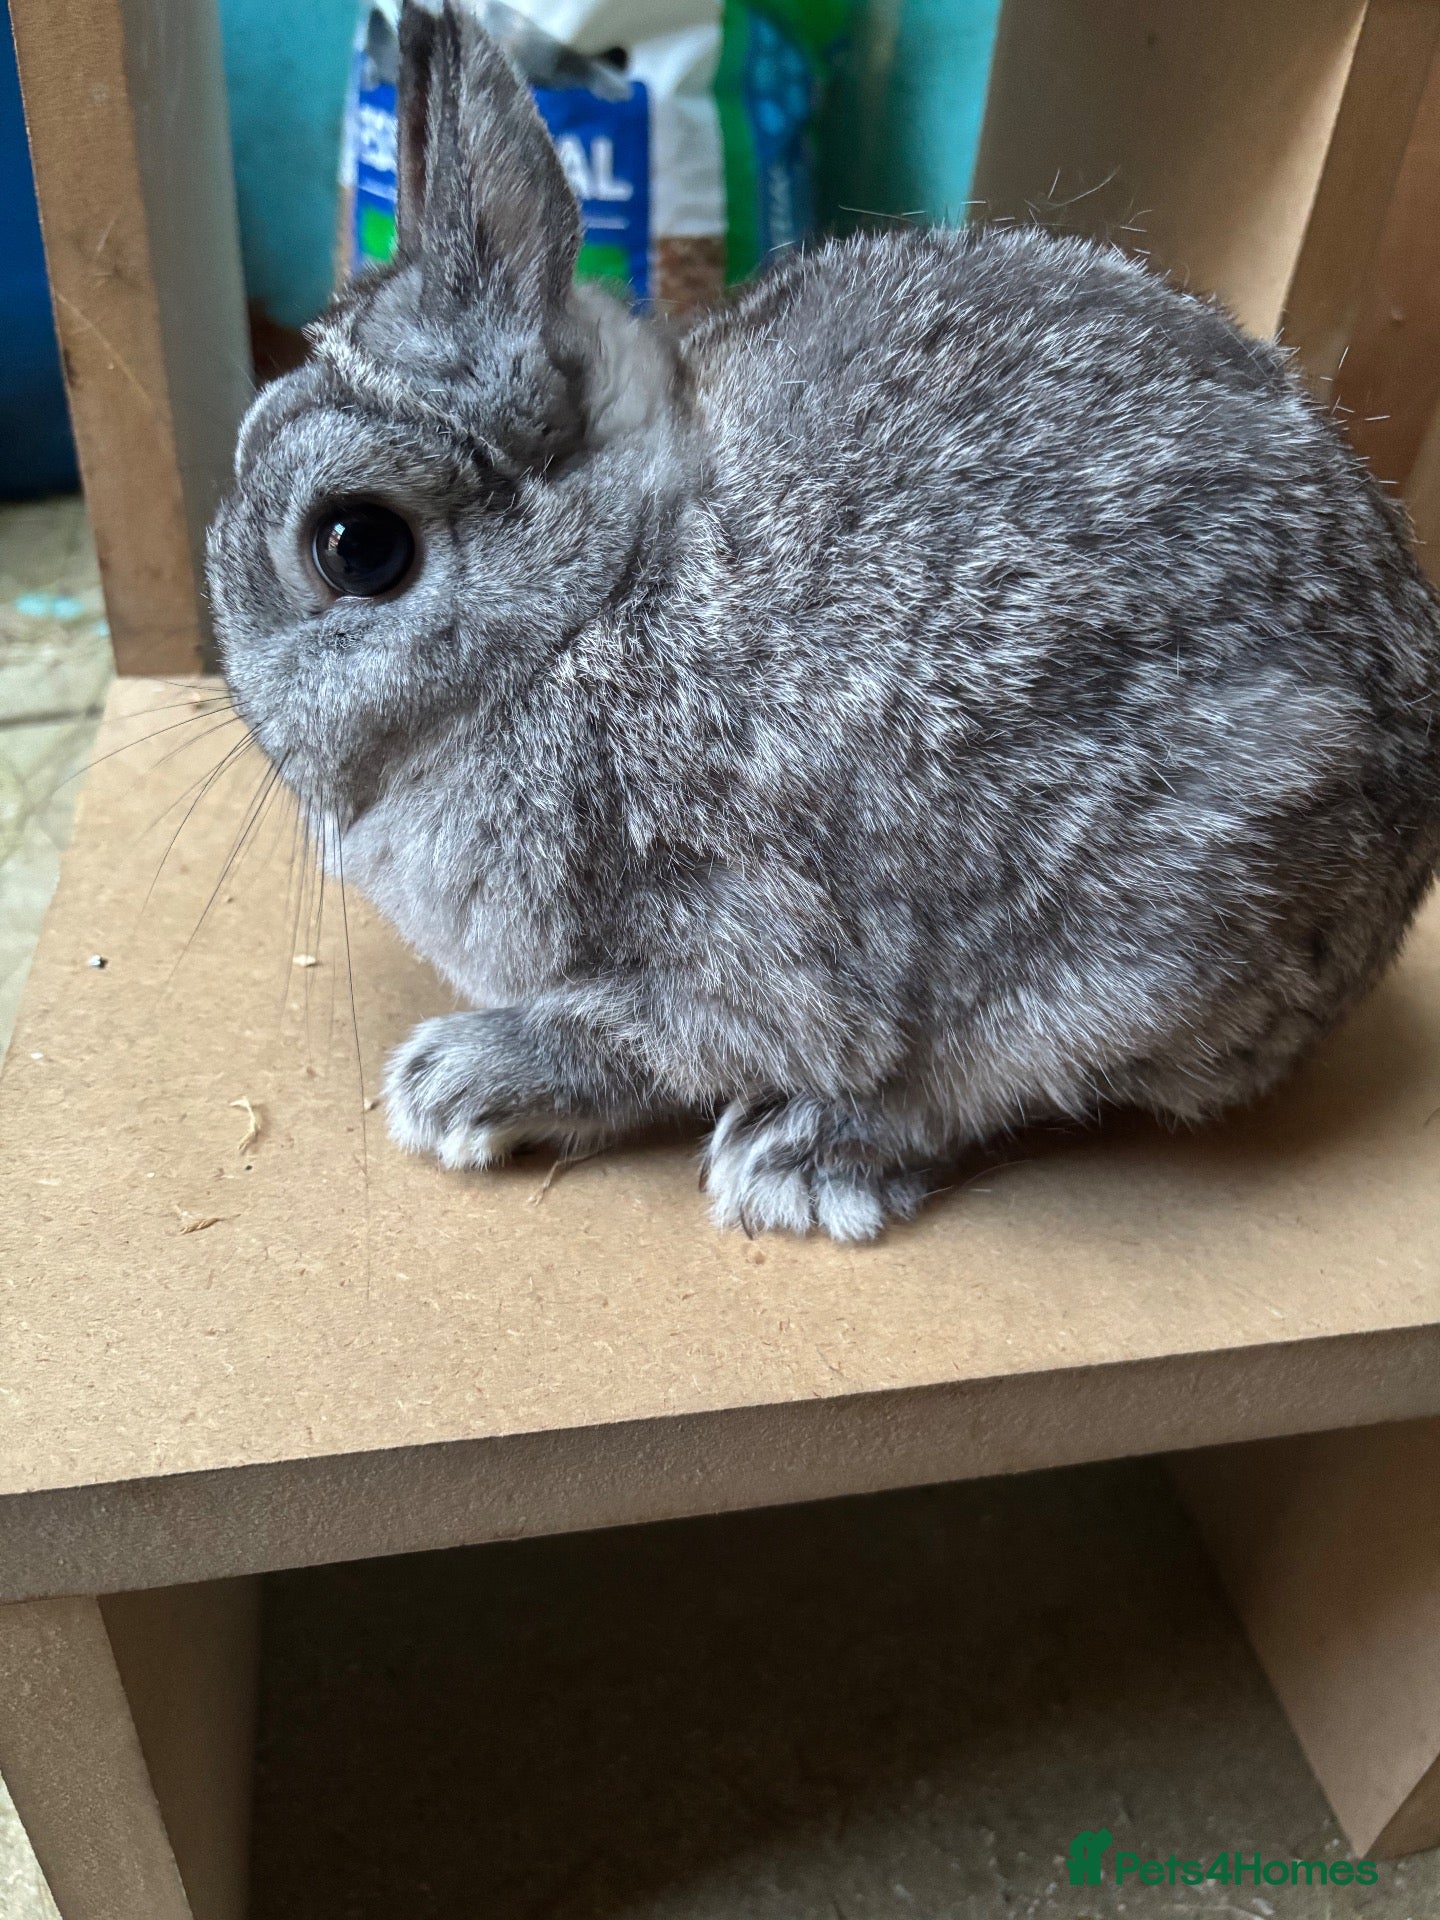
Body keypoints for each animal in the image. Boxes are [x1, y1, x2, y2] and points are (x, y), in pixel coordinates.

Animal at [207, 0, 1440, 1243]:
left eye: (358, 546)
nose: (253, 720)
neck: (594, 599)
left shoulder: (750, 939)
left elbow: (661, 1039)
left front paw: (459, 1084)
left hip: (1133, 942)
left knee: (979, 1085)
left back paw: (797, 1158)